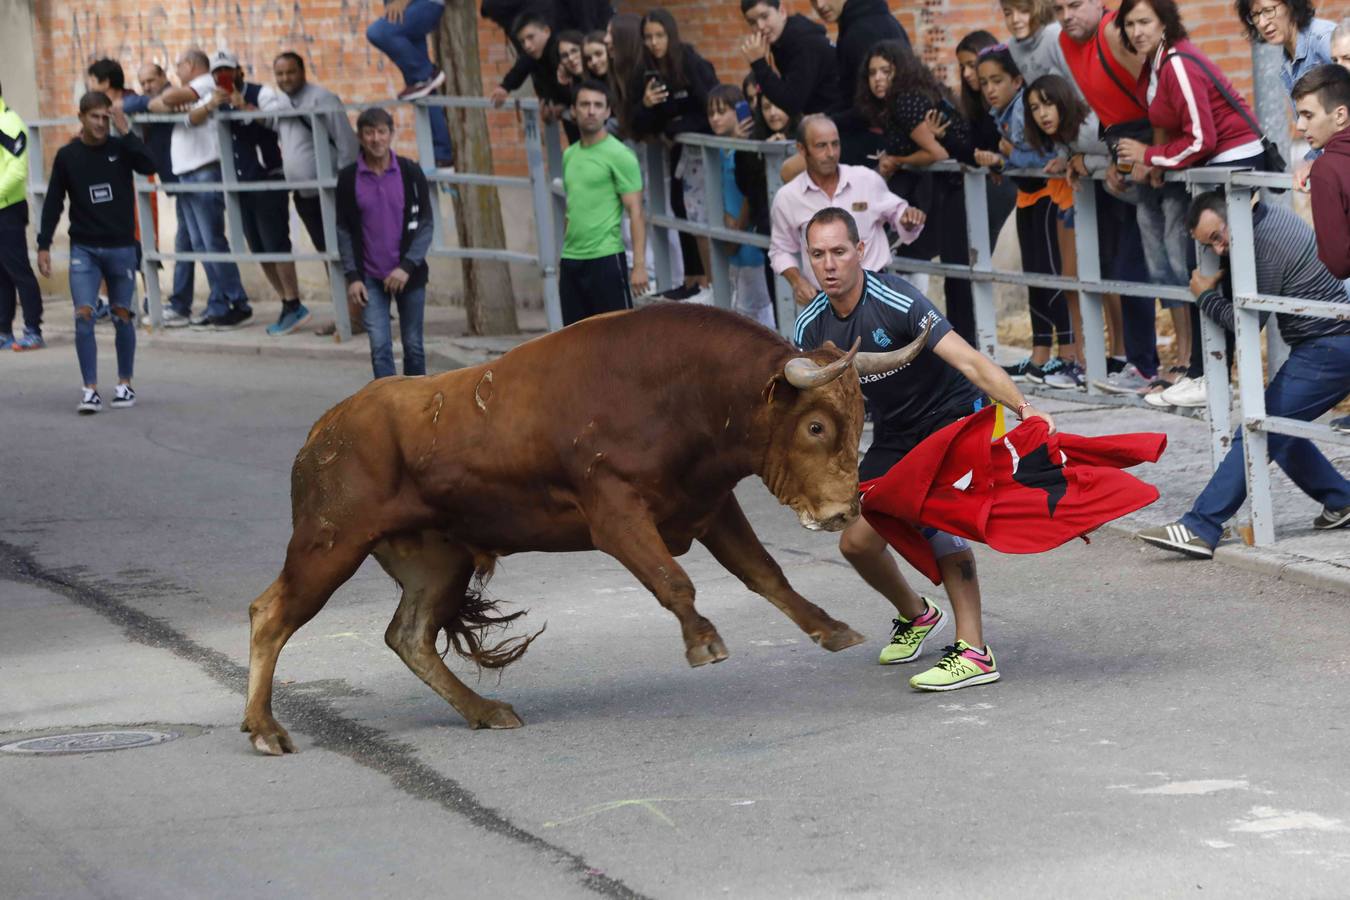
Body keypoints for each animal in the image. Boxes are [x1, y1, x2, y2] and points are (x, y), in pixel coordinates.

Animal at [243, 302, 928, 755]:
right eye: (815, 426)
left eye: (860, 417)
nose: (843, 511)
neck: (683, 391)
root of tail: (324, 430)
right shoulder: (616, 514)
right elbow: (673, 580)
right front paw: (703, 641)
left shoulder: (708, 504)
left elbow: (766, 574)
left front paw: (830, 628)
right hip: (330, 543)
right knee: (271, 614)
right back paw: (265, 729)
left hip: (439, 560)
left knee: (409, 635)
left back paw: (486, 710)